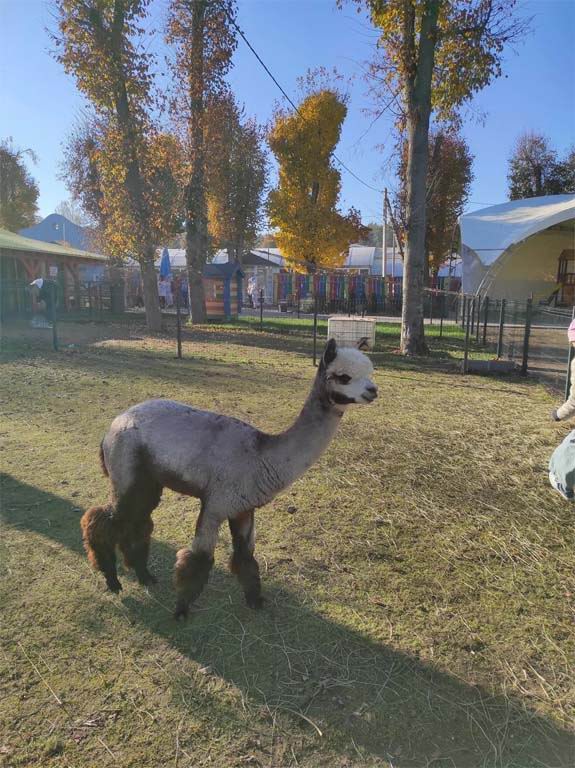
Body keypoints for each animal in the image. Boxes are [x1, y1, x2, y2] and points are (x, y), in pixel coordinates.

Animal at [81, 338, 378, 618]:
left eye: (371, 371)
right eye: (343, 376)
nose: (373, 391)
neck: (261, 456)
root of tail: (113, 424)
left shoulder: (243, 509)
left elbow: (245, 557)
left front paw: (255, 601)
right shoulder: (216, 503)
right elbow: (199, 559)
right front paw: (181, 610)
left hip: (148, 481)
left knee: (136, 523)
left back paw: (143, 575)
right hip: (127, 472)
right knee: (103, 521)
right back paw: (113, 581)